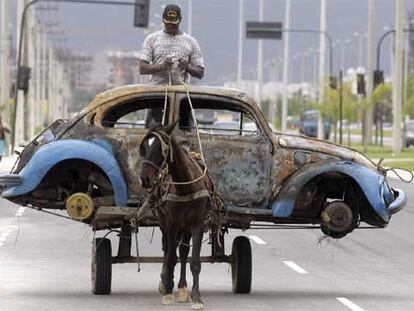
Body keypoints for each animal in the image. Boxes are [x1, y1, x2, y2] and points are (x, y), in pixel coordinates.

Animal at [139, 123, 212, 310]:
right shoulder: (171, 225)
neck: (186, 186)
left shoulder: (197, 224)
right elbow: (171, 257)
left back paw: (182, 288)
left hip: (185, 228)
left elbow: (194, 261)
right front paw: (167, 293)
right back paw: (166, 282)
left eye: (160, 148)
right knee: (168, 249)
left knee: (184, 252)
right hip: (164, 222)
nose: (144, 179)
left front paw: (196, 297)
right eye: (144, 147)